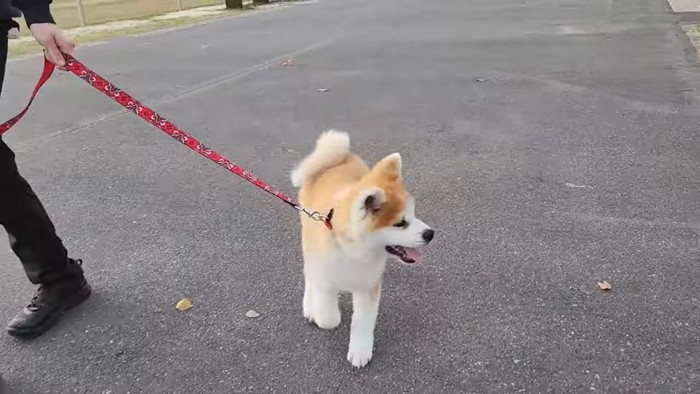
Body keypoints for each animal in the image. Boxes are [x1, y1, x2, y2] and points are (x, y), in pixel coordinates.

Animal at [288, 131, 432, 368]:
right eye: (400, 223)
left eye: (414, 215)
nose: (430, 234)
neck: (354, 253)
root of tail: (339, 156)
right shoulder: (326, 280)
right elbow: (328, 318)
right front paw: (321, 314)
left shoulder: (369, 286)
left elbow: (363, 322)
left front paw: (360, 351)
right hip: (307, 238)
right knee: (309, 273)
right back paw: (309, 305)